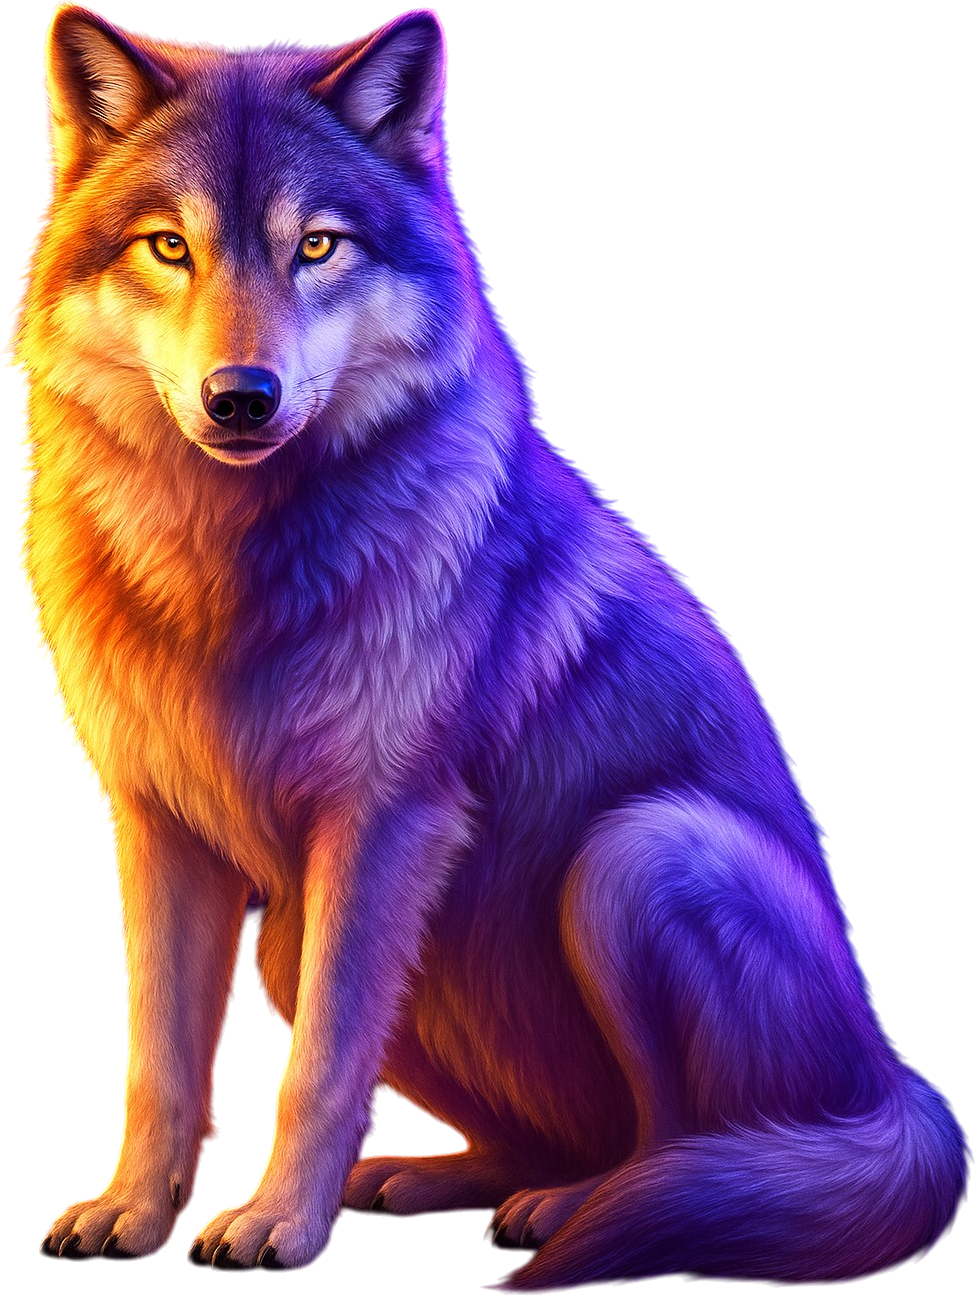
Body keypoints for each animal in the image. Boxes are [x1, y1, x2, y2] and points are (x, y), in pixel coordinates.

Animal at [11, 3, 968, 1288]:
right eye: (169, 247)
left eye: (317, 248)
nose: (242, 397)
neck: (223, 566)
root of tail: (896, 1081)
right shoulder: (159, 825)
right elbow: (158, 1064)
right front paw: (132, 1213)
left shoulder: (382, 822)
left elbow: (317, 1073)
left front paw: (274, 1228)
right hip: (293, 944)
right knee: (539, 1136)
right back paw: (430, 1180)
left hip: (637, 859)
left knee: (673, 1145)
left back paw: (568, 1215)